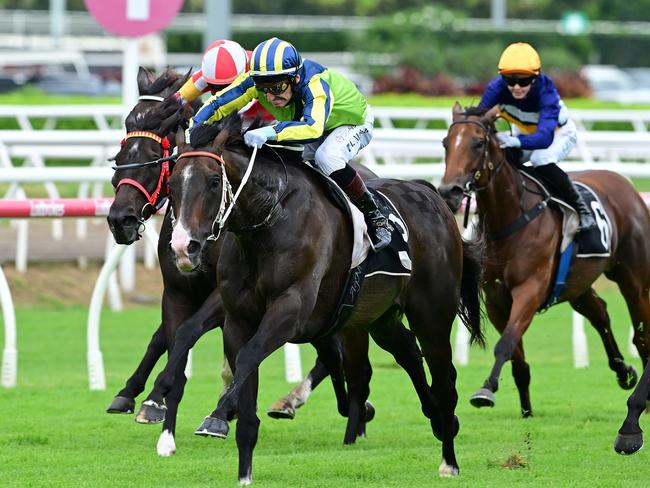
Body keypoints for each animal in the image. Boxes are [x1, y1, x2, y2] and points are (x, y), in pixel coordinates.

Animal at [165, 115, 484, 484]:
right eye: (172, 182)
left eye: (215, 181)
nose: (183, 247)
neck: (270, 218)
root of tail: (430, 194)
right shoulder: (238, 319)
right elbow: (242, 368)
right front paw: (243, 470)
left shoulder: (291, 308)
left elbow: (247, 359)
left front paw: (219, 414)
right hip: (380, 317)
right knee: (406, 352)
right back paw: (435, 419)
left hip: (431, 316)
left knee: (445, 380)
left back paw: (449, 460)